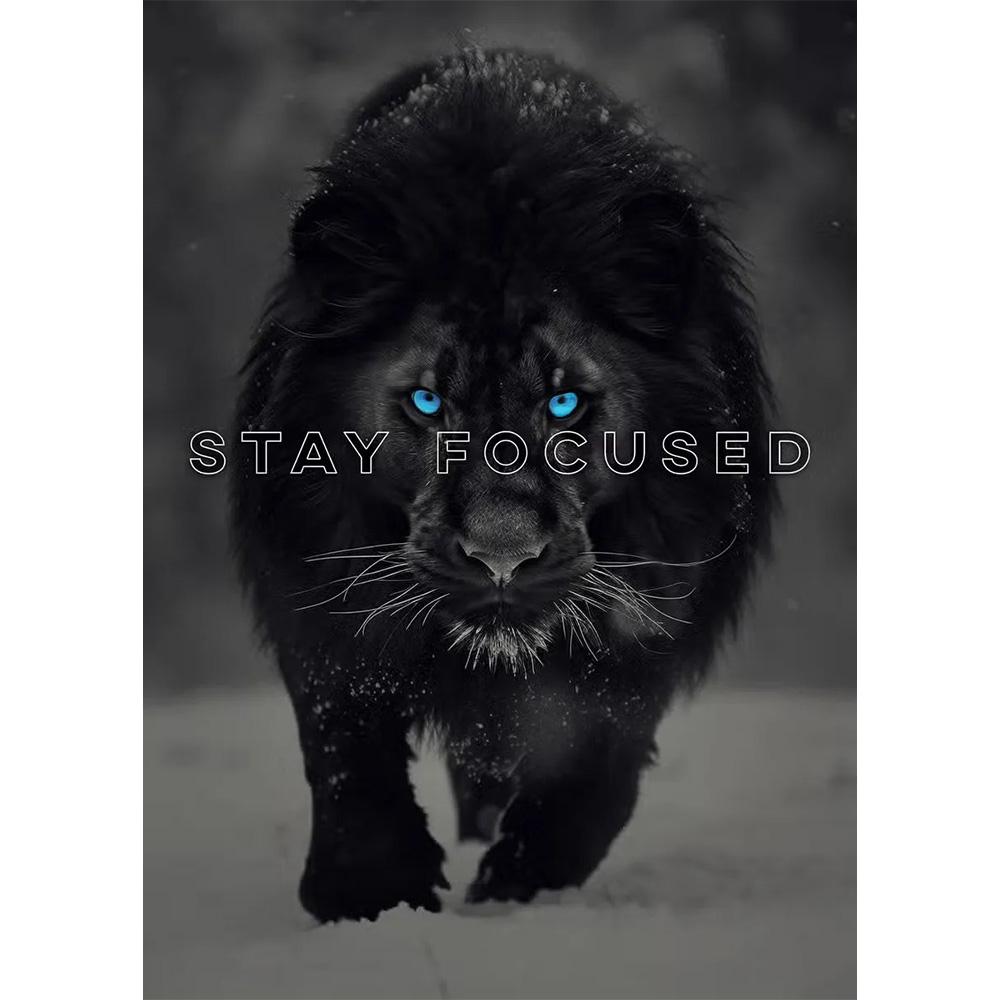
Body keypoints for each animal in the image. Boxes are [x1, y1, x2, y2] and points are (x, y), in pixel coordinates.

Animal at [231, 48, 775, 922]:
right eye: (427, 401)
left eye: (565, 402)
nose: (501, 560)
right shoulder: (316, 584)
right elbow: (345, 740)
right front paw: (368, 892)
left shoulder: (650, 618)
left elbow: (597, 769)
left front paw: (522, 885)